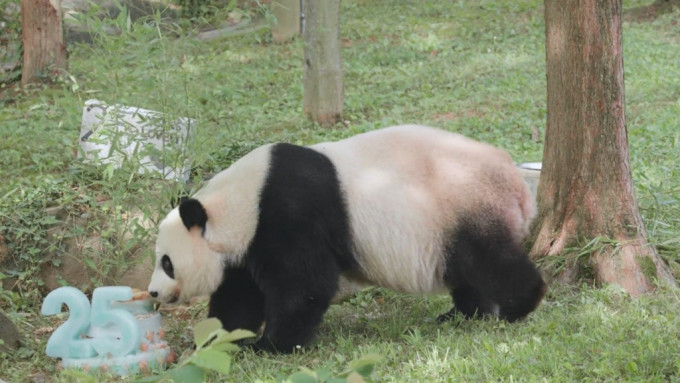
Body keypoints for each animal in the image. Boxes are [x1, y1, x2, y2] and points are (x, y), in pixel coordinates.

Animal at [149, 125, 548, 354]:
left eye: (166, 262)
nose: (152, 292)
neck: (239, 201)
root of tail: (513, 176)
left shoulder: (286, 214)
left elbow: (304, 287)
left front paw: (269, 346)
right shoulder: (248, 244)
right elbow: (239, 296)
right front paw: (217, 338)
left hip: (463, 203)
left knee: (490, 261)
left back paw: (519, 305)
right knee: (467, 270)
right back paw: (462, 314)